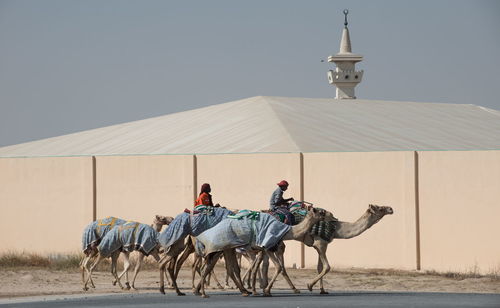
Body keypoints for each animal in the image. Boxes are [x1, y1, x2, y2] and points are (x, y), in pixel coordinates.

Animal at [193, 206, 326, 298]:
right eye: (320, 212)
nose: (327, 213)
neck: (285, 230)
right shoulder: (267, 247)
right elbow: (277, 267)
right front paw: (265, 291)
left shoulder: (263, 249)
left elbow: (261, 267)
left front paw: (261, 290)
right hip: (220, 247)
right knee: (207, 267)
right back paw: (204, 293)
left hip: (227, 248)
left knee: (225, 268)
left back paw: (243, 291)